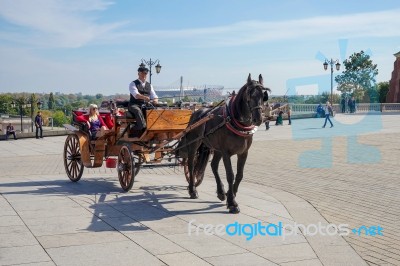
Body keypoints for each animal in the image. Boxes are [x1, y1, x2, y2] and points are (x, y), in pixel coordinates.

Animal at [177, 73, 270, 214]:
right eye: (249, 96)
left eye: (264, 96)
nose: (258, 119)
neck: (235, 121)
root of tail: (197, 112)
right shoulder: (226, 152)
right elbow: (230, 175)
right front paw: (232, 203)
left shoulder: (243, 153)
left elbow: (239, 175)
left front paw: (231, 195)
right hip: (194, 144)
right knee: (191, 164)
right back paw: (192, 190)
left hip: (216, 149)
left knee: (214, 165)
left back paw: (221, 192)